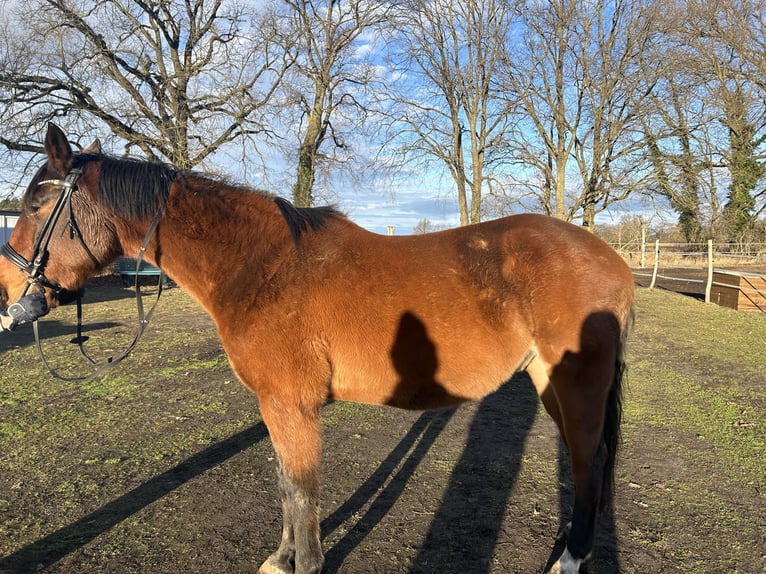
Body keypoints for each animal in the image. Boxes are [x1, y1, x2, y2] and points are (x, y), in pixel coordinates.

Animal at [1, 126, 636, 574]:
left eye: (34, 205)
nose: (8, 292)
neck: (264, 268)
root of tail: (611, 258)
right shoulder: (278, 408)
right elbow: (288, 487)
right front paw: (281, 560)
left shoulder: (292, 406)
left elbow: (302, 494)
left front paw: (300, 562)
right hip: (547, 383)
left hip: (575, 387)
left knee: (588, 464)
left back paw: (570, 559)